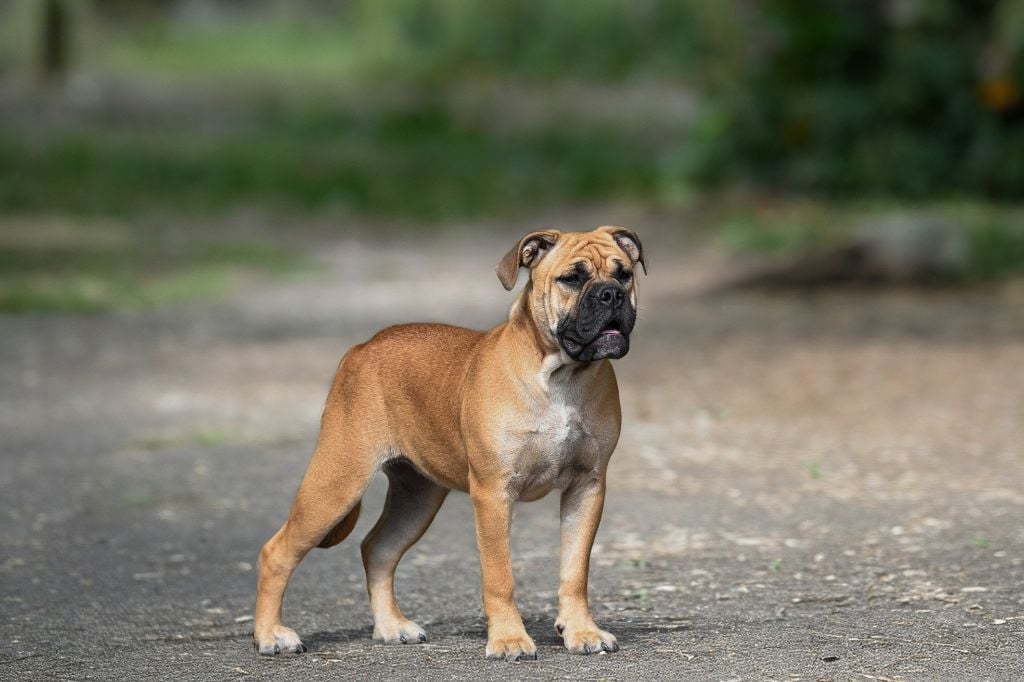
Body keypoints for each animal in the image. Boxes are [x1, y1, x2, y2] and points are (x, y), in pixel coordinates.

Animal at [253, 225, 644, 660]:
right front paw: (509, 639)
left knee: (377, 549)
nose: (610, 294)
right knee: (276, 552)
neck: (561, 375)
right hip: (335, 484)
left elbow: (574, 571)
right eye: (572, 279)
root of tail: (361, 349)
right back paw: (271, 635)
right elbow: (499, 576)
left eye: (624, 274)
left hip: (417, 498)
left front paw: (581, 631)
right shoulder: (493, 494)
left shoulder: (586, 487)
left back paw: (391, 627)